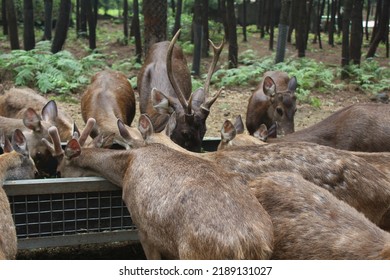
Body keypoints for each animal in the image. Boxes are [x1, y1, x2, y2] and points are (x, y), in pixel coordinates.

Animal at [43, 122, 274, 260]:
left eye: (59, 169)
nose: (57, 174)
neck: (125, 168)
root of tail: (251, 245)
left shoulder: (144, 228)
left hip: (193, 253)